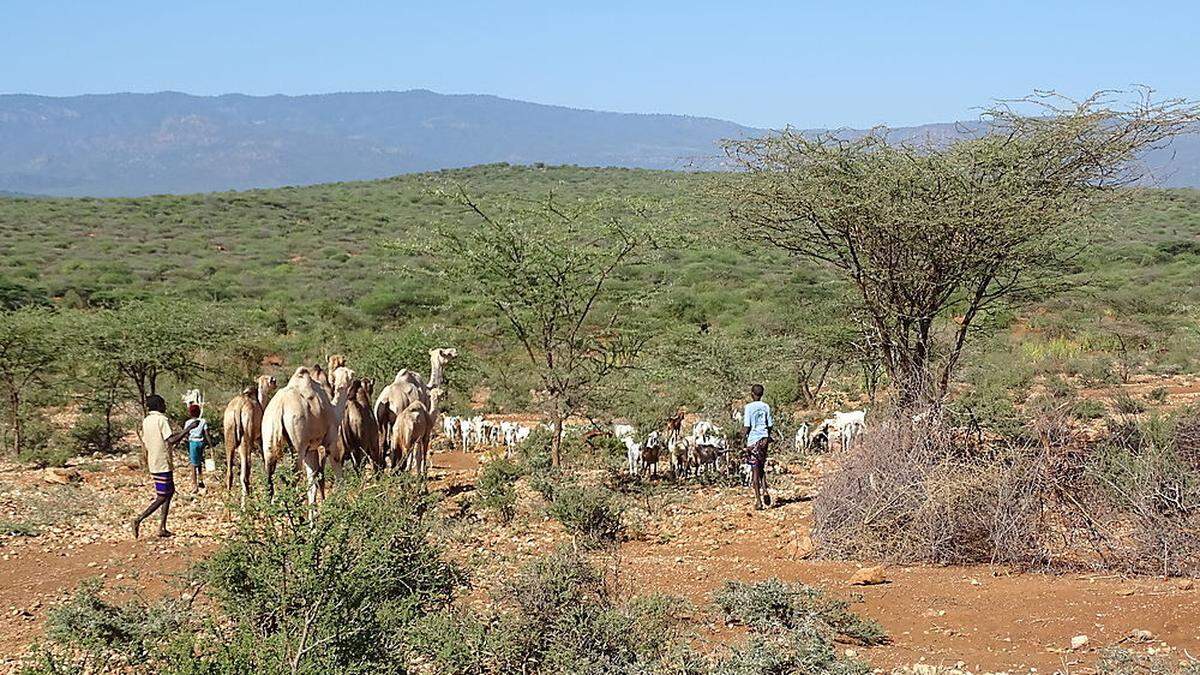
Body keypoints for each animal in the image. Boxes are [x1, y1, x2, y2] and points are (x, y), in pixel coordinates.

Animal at [260, 365, 340, 502]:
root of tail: (280, 406)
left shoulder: (311, 448)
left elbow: (313, 480)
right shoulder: (329, 441)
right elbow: (329, 473)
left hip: (269, 442)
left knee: (269, 480)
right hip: (298, 446)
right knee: (294, 478)